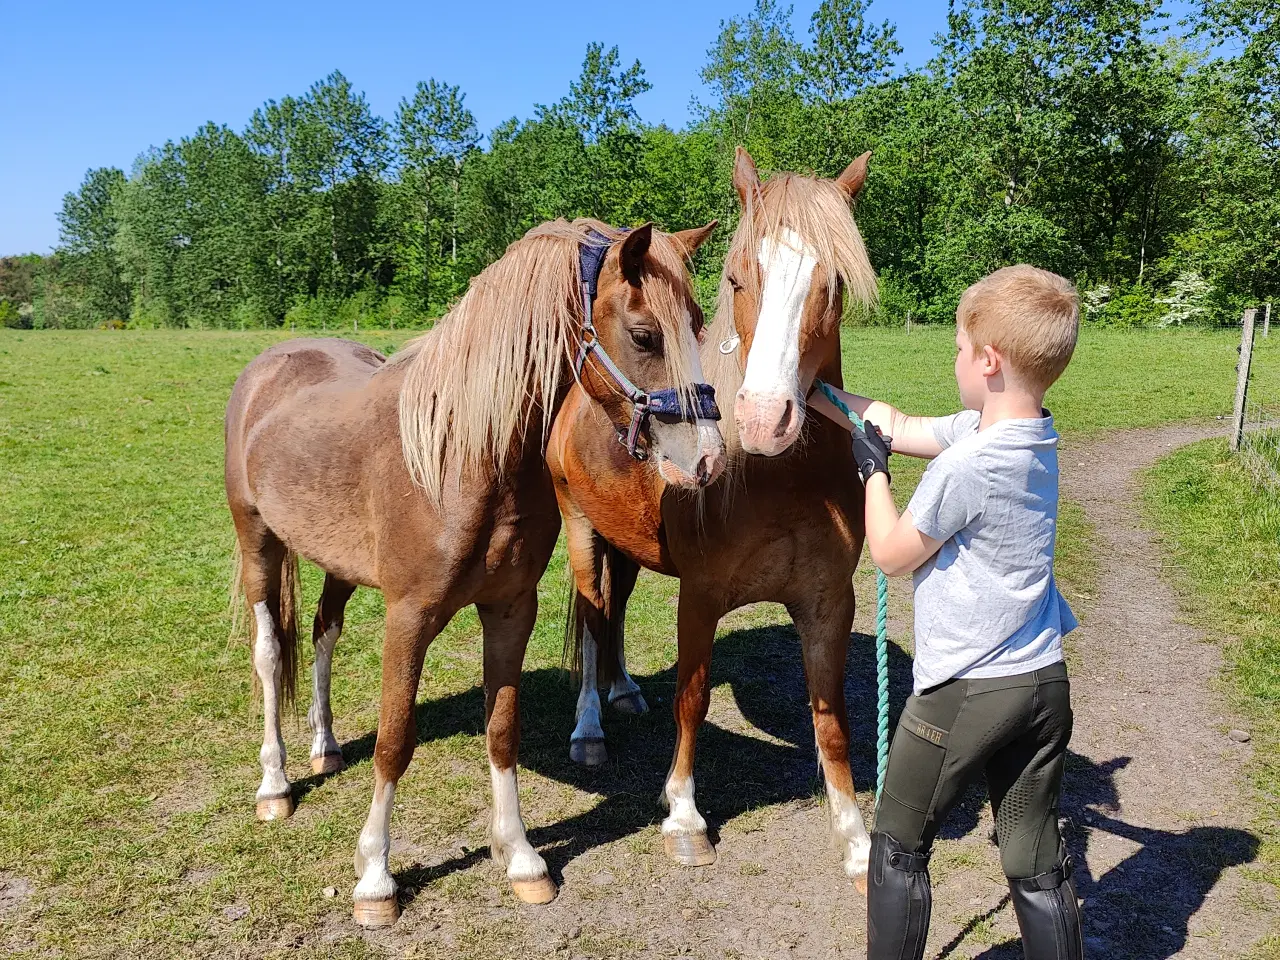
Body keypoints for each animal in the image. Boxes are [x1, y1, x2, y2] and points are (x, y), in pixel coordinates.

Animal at [222, 216, 721, 926]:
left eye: (699, 324)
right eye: (645, 334)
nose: (707, 459)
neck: (463, 455)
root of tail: (271, 364)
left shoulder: (511, 609)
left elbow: (502, 729)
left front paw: (521, 858)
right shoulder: (409, 617)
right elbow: (395, 741)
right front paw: (375, 878)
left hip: (336, 562)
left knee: (322, 634)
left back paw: (325, 745)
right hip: (257, 542)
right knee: (270, 653)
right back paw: (276, 783)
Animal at [550, 150, 880, 896]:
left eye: (833, 283)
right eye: (736, 277)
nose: (764, 419)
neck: (774, 479)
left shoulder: (828, 602)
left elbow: (832, 721)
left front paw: (855, 840)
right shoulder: (698, 598)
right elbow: (692, 699)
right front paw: (684, 818)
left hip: (628, 547)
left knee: (613, 612)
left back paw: (621, 692)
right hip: (582, 533)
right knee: (592, 619)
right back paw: (587, 727)